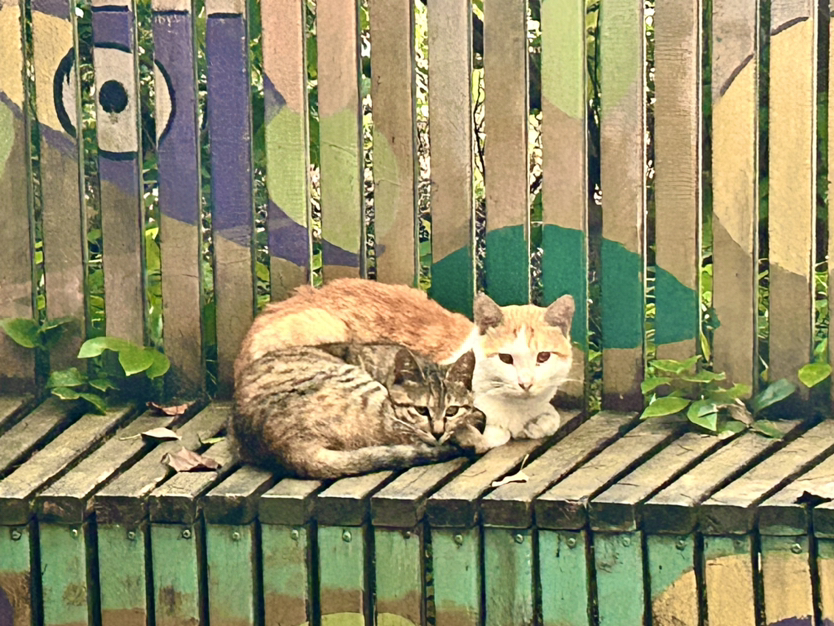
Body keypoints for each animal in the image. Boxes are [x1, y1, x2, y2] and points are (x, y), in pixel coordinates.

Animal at [235, 278, 575, 450]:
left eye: (542, 357)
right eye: (506, 358)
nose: (526, 382)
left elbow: (551, 417)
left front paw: (538, 422)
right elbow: (490, 433)